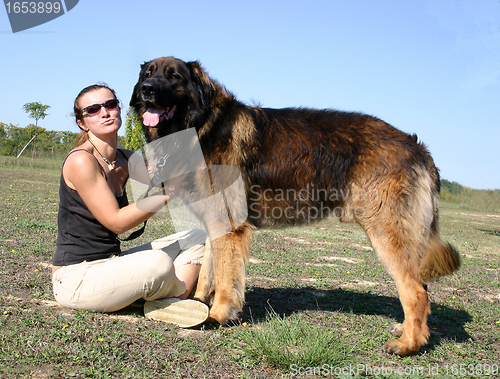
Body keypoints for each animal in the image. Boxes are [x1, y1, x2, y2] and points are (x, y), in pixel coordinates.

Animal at [130, 56, 460, 356]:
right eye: (148, 73)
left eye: (174, 77)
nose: (146, 89)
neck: (201, 125)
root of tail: (418, 147)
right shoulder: (215, 223)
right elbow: (209, 273)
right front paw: (199, 304)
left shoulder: (229, 226)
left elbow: (225, 278)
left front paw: (218, 315)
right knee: (420, 288)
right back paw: (411, 333)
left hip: (386, 232)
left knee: (416, 292)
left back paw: (408, 345)